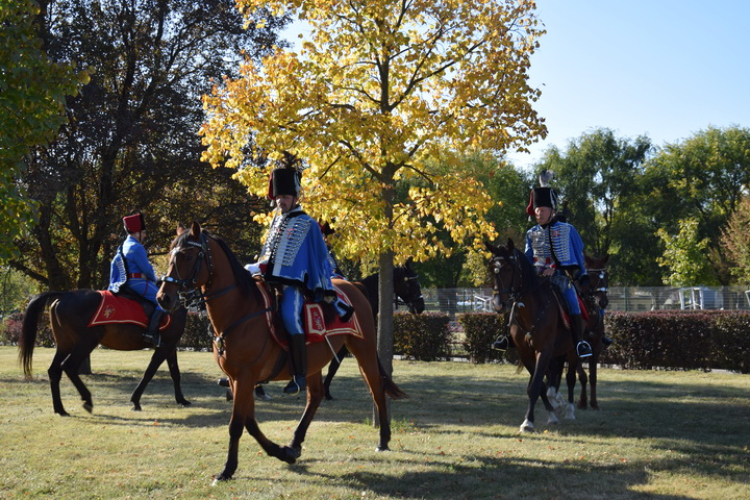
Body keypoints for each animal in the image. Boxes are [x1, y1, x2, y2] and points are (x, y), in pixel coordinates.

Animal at [19, 290, 189, 414]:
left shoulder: (170, 346)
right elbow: (150, 372)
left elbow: (175, 373)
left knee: (54, 371)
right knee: (69, 366)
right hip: (86, 342)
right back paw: (87, 399)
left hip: (64, 345)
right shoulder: (164, 347)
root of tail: (65, 295)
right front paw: (136, 401)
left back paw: (60, 409)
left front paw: (181, 399)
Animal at [155, 223, 408, 480]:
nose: (163, 297)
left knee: (376, 389)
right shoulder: (237, 379)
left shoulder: (245, 377)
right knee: (315, 396)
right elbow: (249, 422)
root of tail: (352, 286)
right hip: (314, 363)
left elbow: (236, 424)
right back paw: (295, 443)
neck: (240, 311)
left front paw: (227, 469)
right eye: (170, 255)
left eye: (187, 256)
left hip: (363, 350)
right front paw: (282, 453)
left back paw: (383, 440)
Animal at [484, 240, 580, 432]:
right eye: (492, 268)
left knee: (570, 378)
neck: (531, 310)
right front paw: (549, 415)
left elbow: (536, 385)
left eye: (509, 268)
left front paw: (528, 422)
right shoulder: (525, 352)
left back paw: (570, 410)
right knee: (554, 374)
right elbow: (538, 385)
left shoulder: (543, 350)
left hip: (572, 351)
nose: (499, 305)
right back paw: (556, 400)